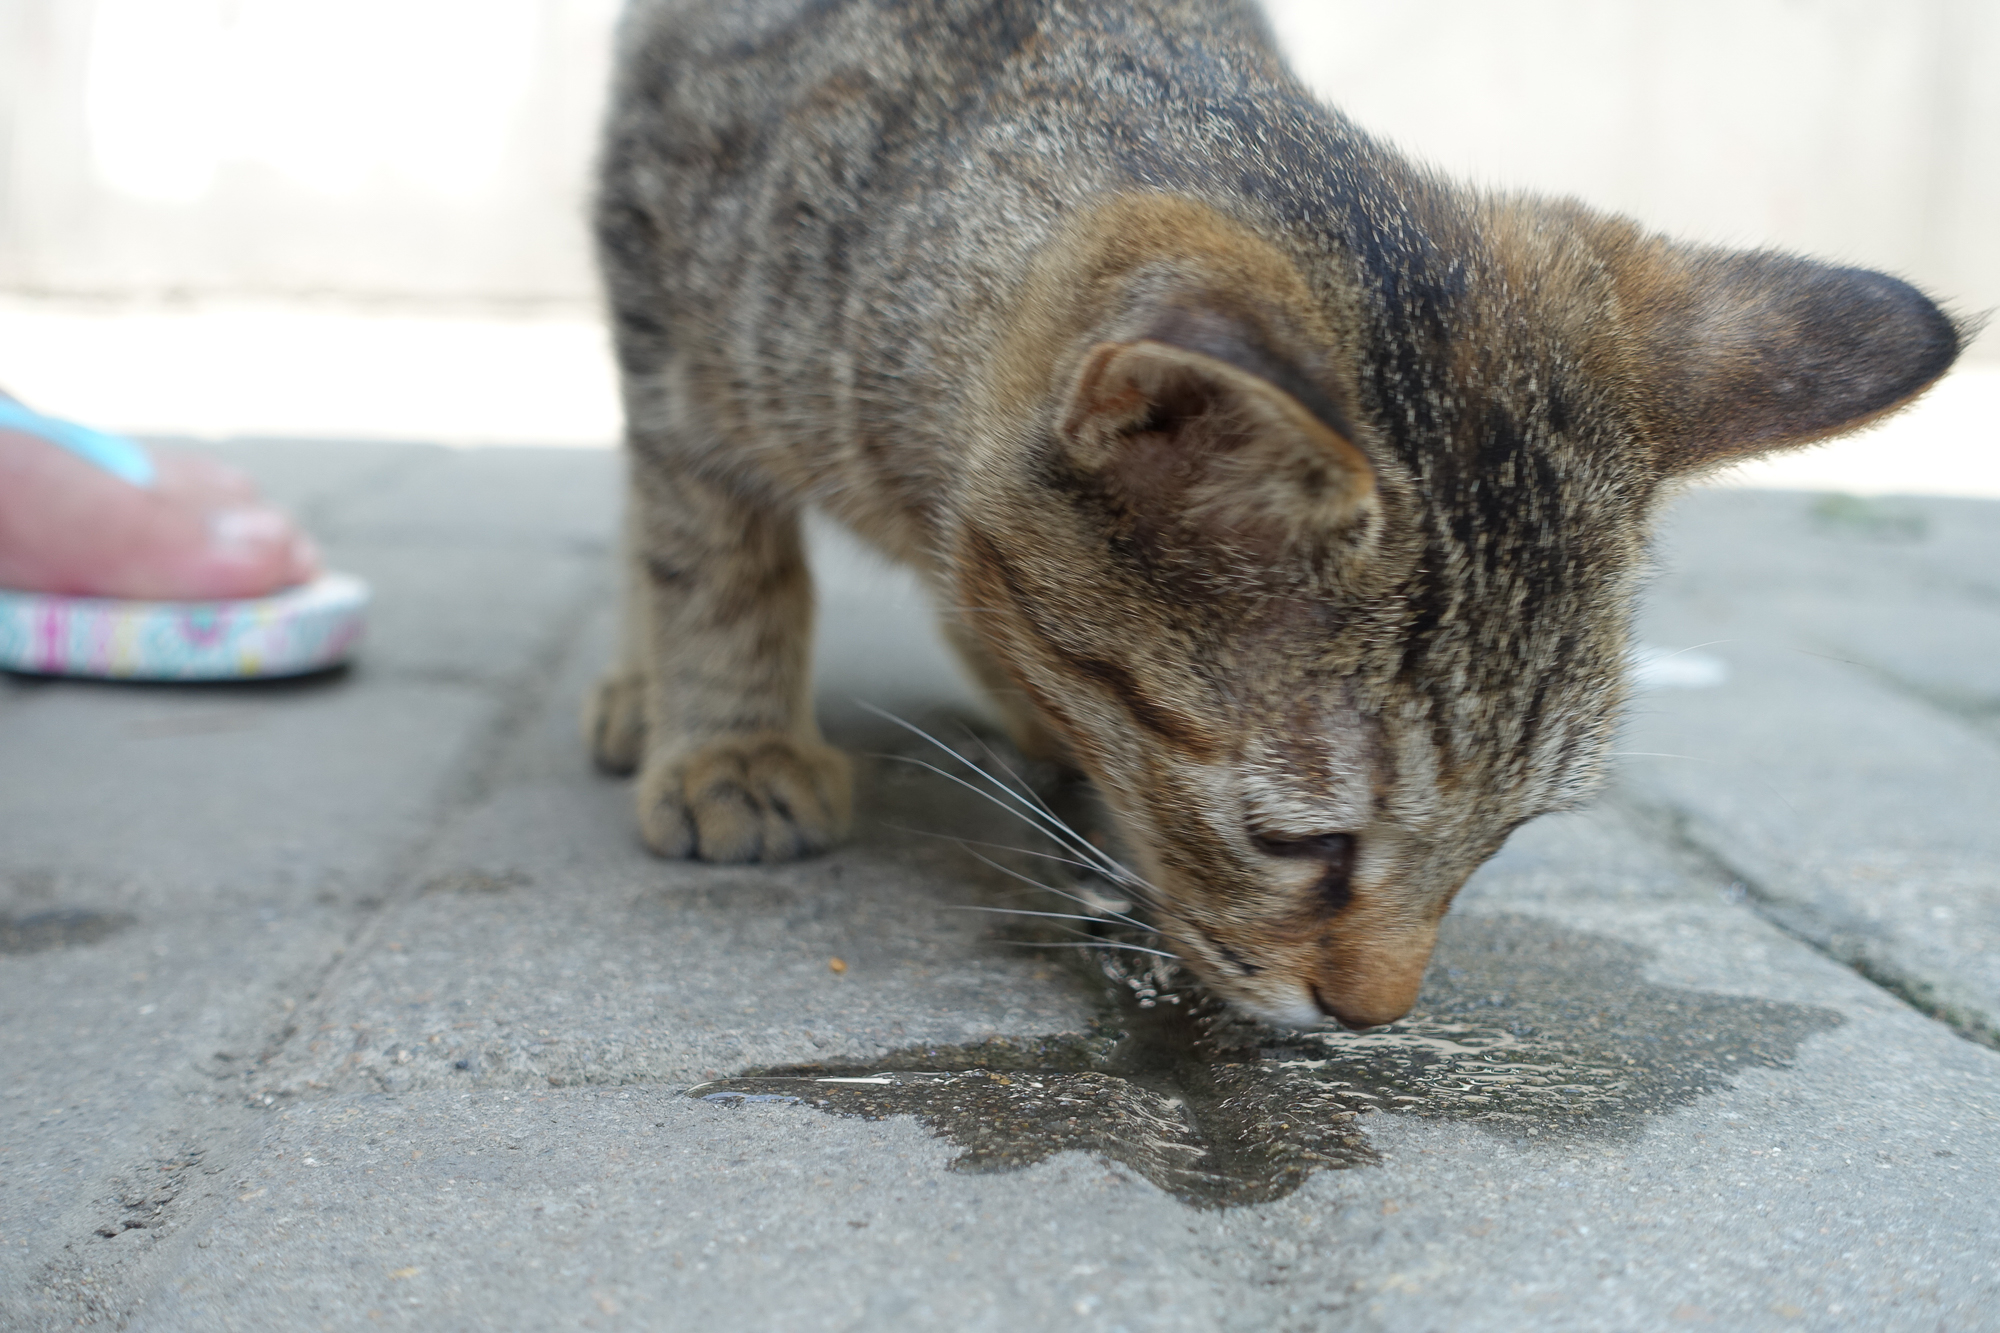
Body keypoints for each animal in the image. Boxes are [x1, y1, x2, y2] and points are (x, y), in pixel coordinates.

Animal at [580, 0, 1952, 1024]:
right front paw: (730, 738)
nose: (1373, 1017)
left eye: (1506, 834)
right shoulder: (661, 291)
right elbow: (710, 547)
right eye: (1298, 841)